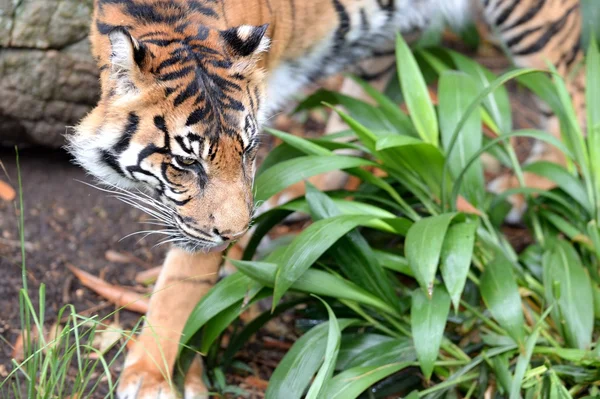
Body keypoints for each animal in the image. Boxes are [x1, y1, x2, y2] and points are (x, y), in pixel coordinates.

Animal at [67, 0, 584, 398]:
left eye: (248, 150)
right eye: (185, 163)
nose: (237, 232)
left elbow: (183, 282)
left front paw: (155, 376)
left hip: (533, 20)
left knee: (566, 83)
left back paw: (537, 183)